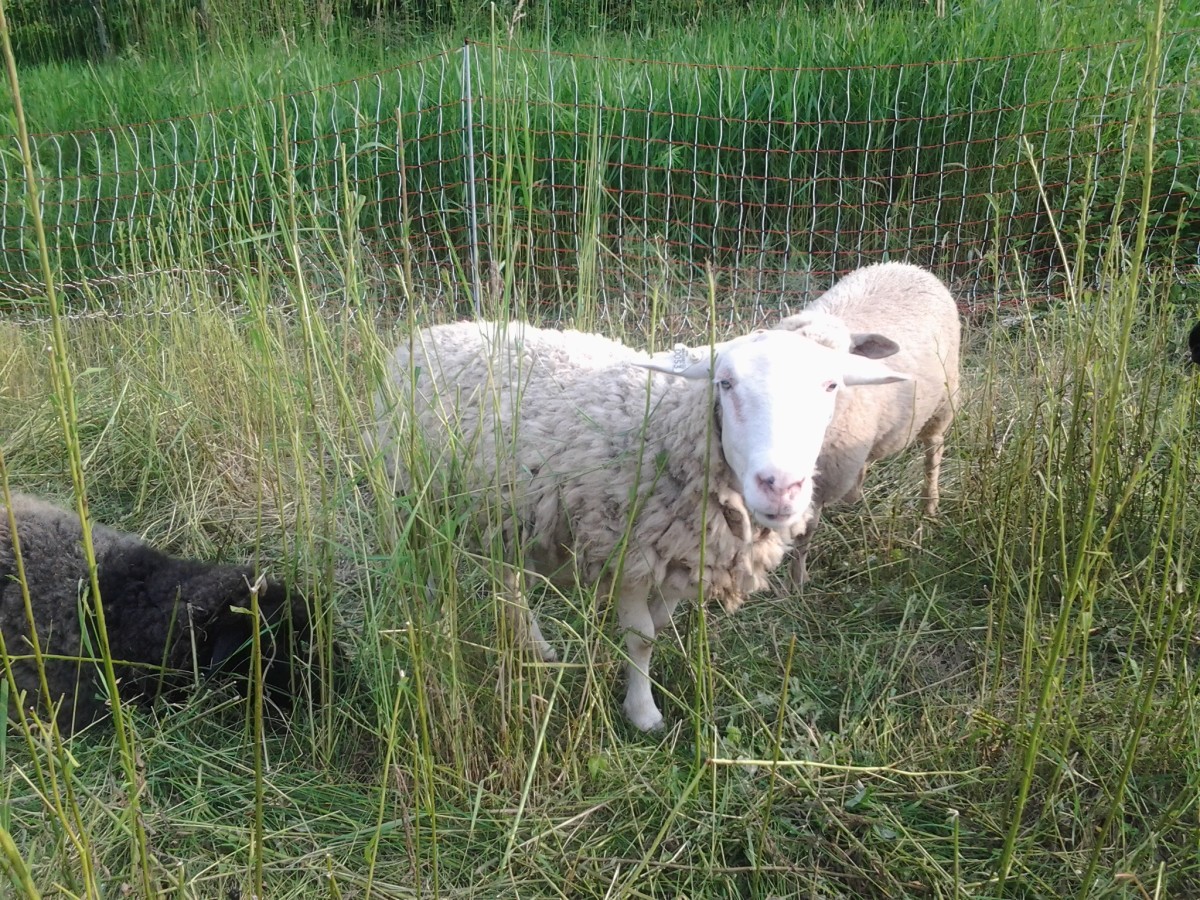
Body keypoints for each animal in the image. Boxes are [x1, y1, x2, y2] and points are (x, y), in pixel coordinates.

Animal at [369, 321, 902, 729]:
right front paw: (643, 713)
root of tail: (429, 333)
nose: (781, 485)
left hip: (504, 511)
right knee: (423, 570)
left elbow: (659, 628)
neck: (668, 428)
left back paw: (536, 646)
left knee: (508, 580)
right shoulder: (627, 551)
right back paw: (433, 625)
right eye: (725, 384)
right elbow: (642, 638)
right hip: (410, 497)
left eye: (831, 386)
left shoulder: (679, 558)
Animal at [772, 262, 960, 585]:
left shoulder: (823, 481)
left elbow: (805, 533)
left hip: (942, 403)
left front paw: (796, 583)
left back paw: (929, 506)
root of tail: (908, 266)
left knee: (933, 453)